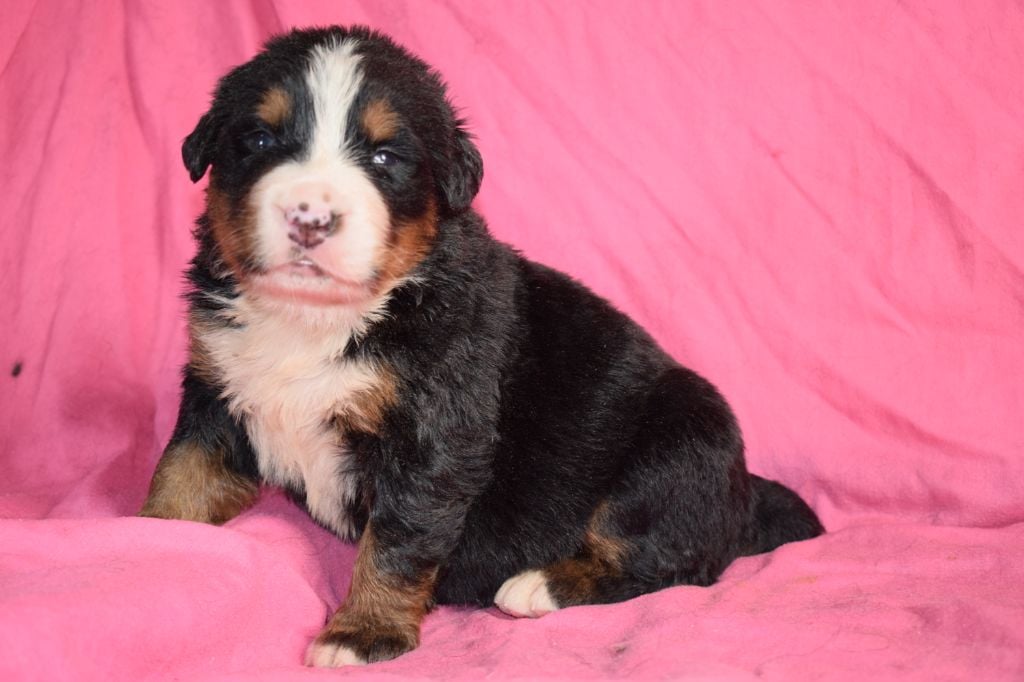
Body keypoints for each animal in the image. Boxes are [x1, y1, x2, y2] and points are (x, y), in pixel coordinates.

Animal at [140, 26, 824, 667]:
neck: (314, 320)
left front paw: (362, 633)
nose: (310, 217)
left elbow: (398, 540)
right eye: (259, 140)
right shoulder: (216, 395)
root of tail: (743, 493)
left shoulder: (436, 434)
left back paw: (536, 587)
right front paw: (146, 544)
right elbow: (180, 479)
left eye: (384, 156)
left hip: (679, 443)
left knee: (668, 564)